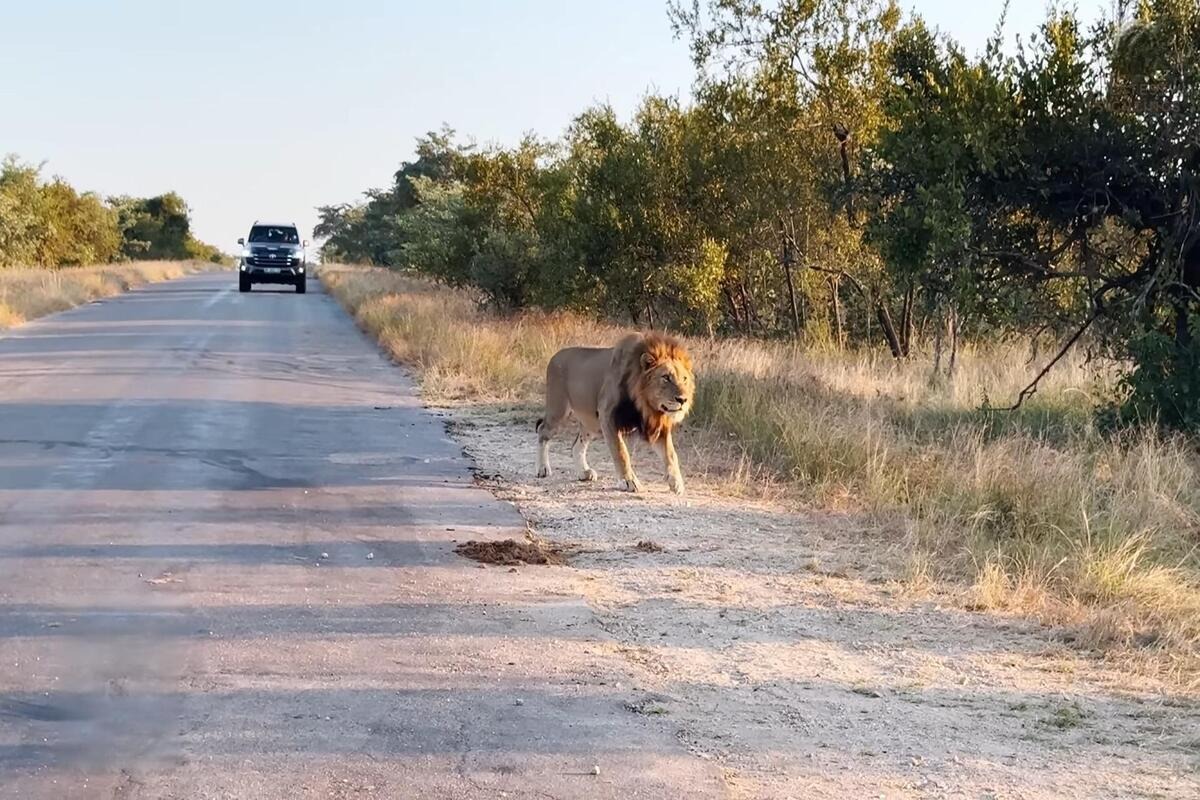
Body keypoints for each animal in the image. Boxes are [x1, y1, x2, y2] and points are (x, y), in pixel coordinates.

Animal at [535, 332, 695, 494]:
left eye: (684, 379)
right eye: (666, 377)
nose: (683, 399)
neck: (645, 405)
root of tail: (555, 356)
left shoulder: (656, 424)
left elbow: (671, 454)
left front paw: (677, 483)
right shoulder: (607, 415)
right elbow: (621, 452)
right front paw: (629, 481)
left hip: (591, 423)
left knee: (576, 445)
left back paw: (584, 473)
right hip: (559, 412)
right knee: (542, 431)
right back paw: (543, 468)